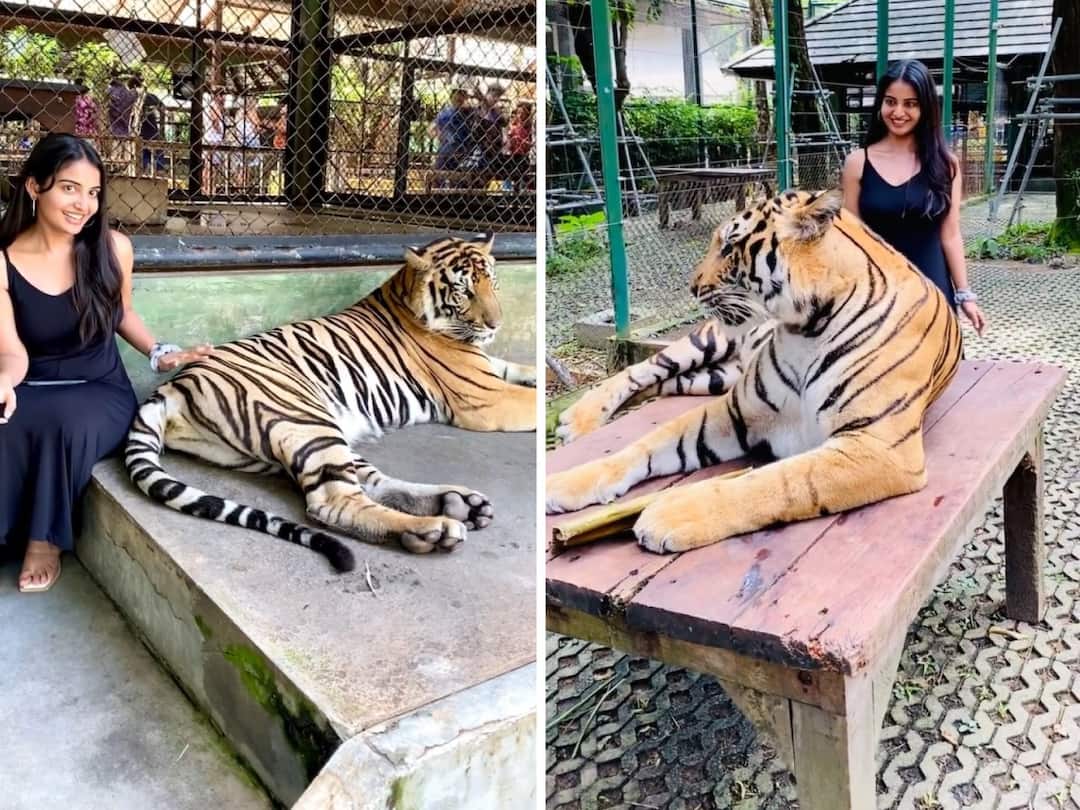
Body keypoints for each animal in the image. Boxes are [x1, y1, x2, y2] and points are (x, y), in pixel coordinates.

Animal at [126, 234, 536, 572]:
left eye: (492, 283)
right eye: (464, 291)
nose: (496, 324)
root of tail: (175, 384)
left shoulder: (489, 370)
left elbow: (520, 369)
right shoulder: (485, 397)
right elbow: (530, 400)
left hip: (311, 436)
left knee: (373, 485)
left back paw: (459, 504)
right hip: (307, 422)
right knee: (335, 502)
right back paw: (434, 528)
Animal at [546, 189, 962, 554]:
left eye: (729, 247)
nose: (692, 287)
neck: (806, 329)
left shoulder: (878, 446)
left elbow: (779, 481)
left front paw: (670, 514)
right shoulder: (735, 411)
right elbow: (648, 442)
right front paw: (563, 483)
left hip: (711, 377)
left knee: (663, 384)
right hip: (707, 341)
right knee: (640, 370)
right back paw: (578, 420)